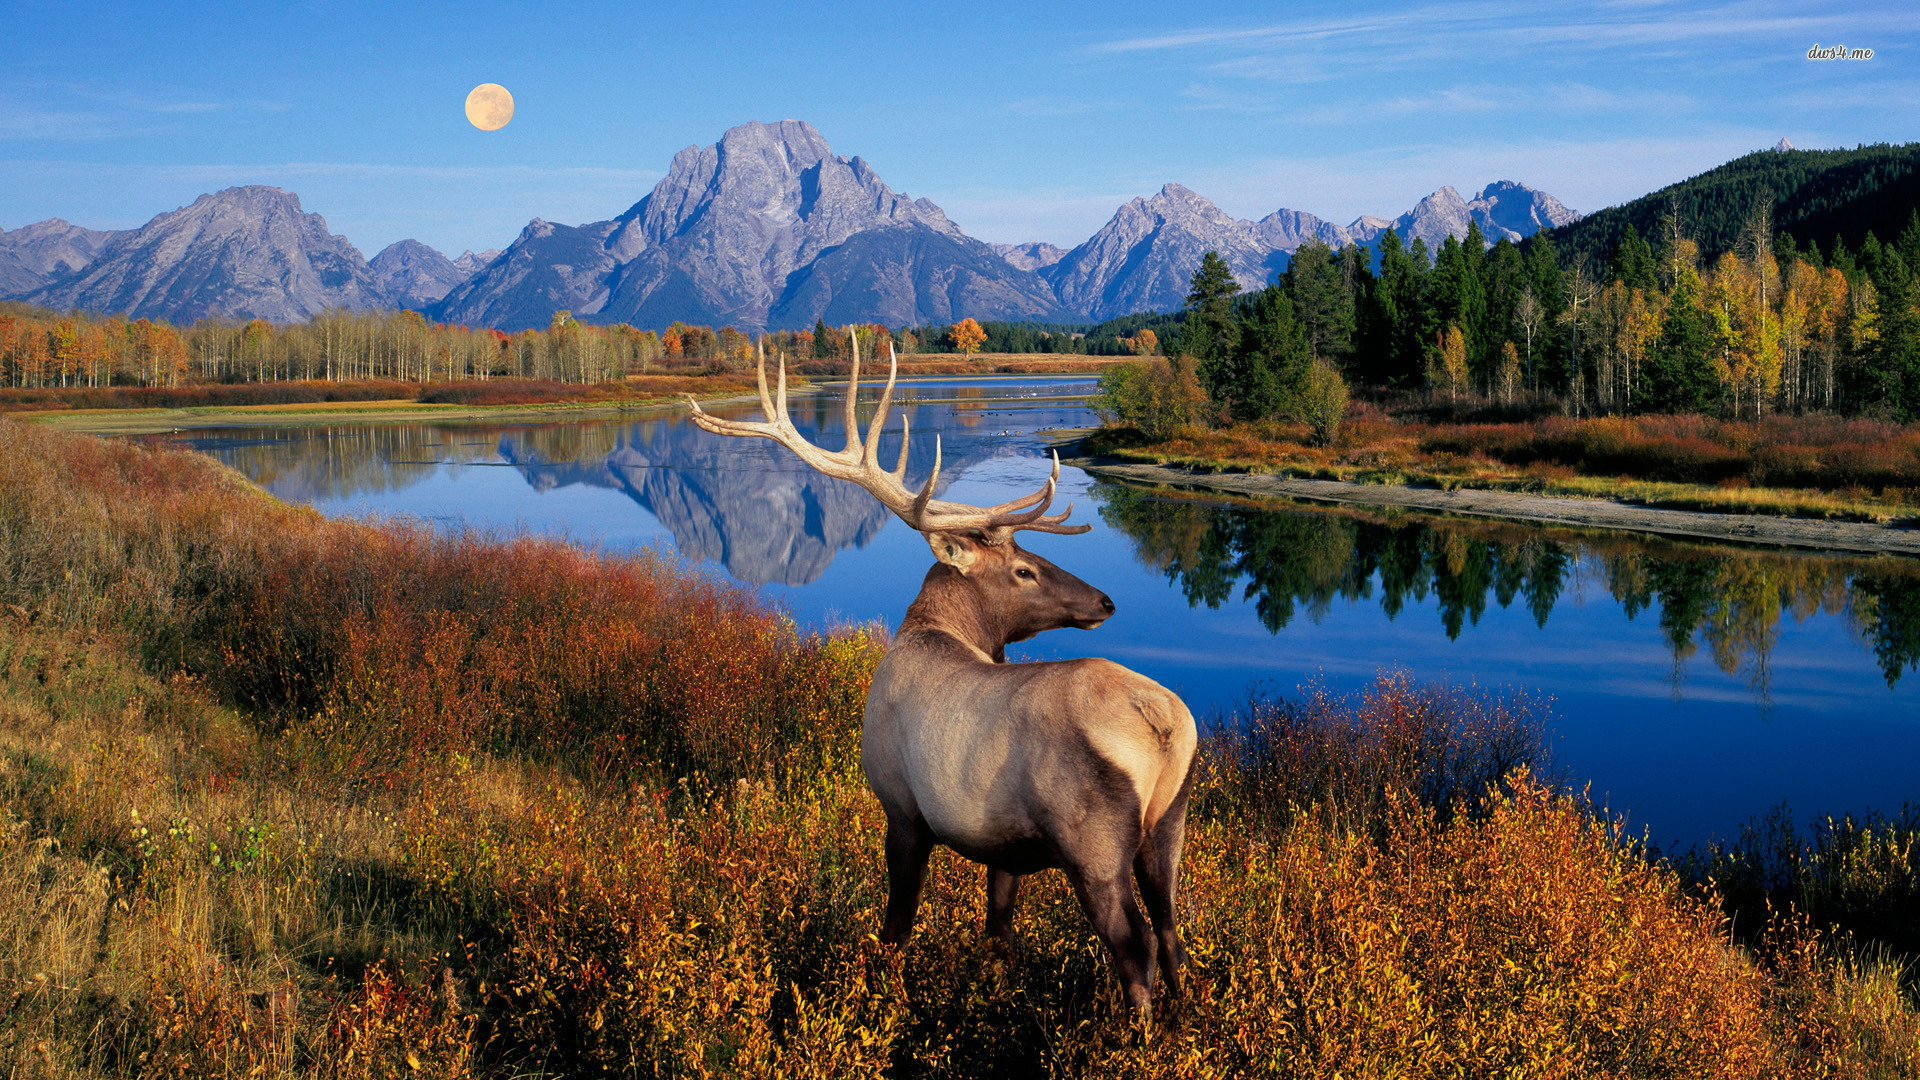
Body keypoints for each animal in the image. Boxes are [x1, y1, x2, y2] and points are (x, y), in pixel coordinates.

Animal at [687, 336, 1198, 1015]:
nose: (1105, 601)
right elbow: (997, 930)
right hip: (1168, 824)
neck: (934, 631)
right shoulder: (1004, 845)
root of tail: (1164, 724)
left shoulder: (902, 807)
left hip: (1091, 841)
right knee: (1171, 932)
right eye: (1024, 569)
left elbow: (896, 926)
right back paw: (1182, 1024)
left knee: (1134, 944)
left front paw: (883, 992)